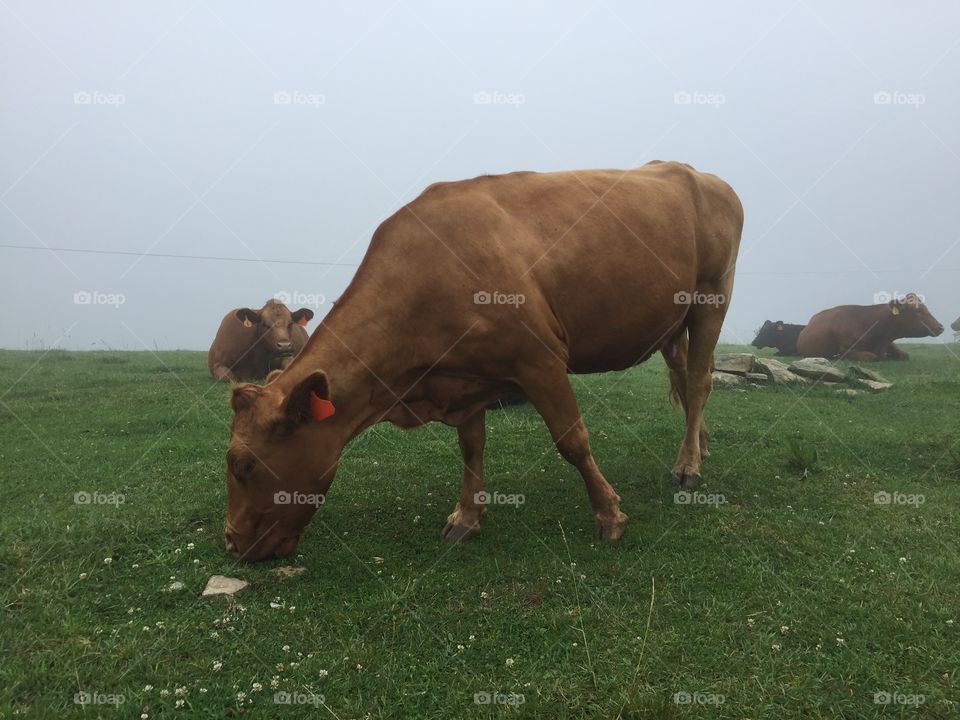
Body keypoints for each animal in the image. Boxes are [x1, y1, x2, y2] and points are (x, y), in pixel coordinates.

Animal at [223, 163, 744, 564]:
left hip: (711, 295)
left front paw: (609, 514)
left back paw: (689, 467)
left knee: (700, 380)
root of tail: (695, 172)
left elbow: (572, 440)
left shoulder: (539, 359)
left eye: (243, 465)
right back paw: (699, 446)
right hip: (670, 322)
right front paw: (467, 517)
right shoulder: (464, 374)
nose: (230, 543)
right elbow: (471, 446)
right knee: (683, 377)